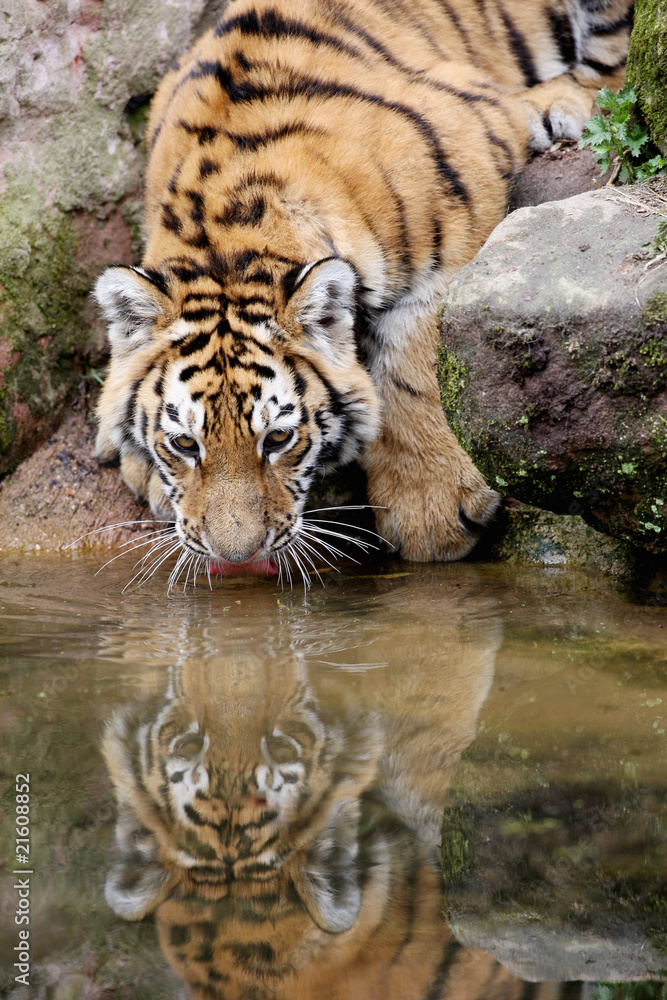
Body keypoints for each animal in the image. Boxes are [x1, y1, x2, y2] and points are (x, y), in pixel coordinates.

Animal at [94, 0, 633, 573]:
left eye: (278, 438)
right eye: (184, 445)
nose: (236, 556)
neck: (225, 236)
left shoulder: (461, 222)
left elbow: (411, 362)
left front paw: (430, 511)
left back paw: (551, 105)